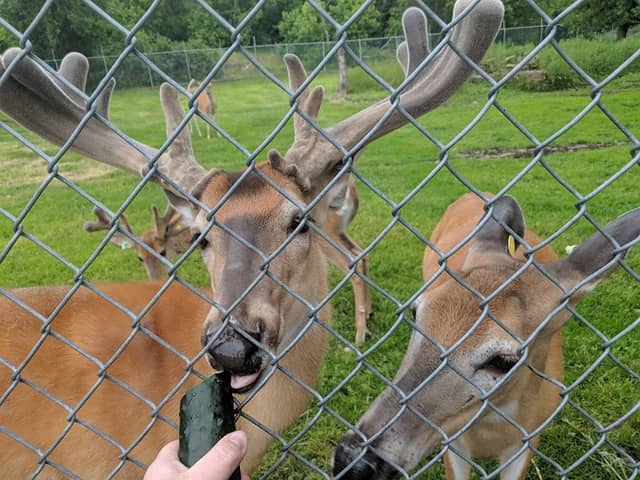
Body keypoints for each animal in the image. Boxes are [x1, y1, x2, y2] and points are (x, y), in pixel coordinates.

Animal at [333, 192, 640, 480]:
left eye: (504, 361)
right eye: (415, 312)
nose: (352, 462)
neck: (493, 431)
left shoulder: (526, 443)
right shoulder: (453, 444)